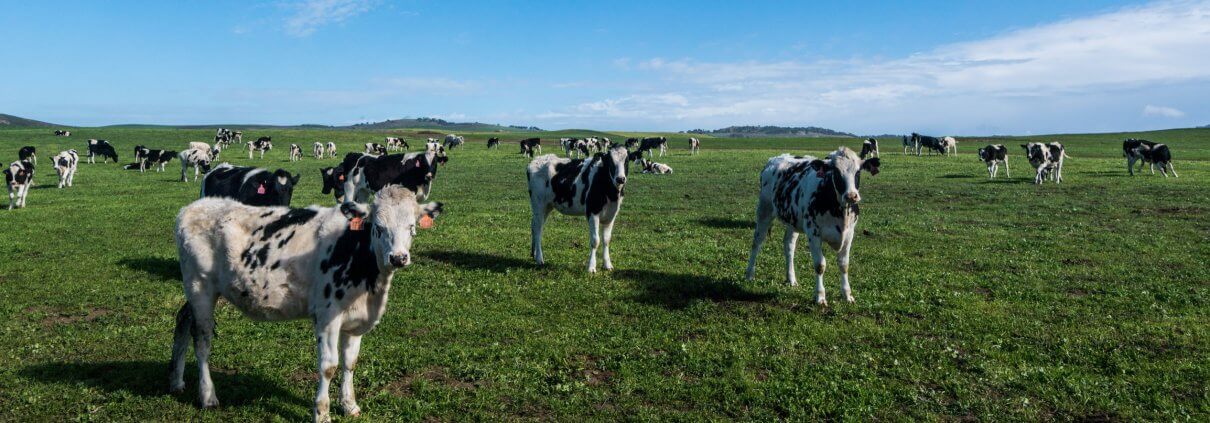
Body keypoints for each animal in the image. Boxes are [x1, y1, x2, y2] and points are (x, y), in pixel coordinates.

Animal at [173, 189, 447, 423]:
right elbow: (329, 366)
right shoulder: (328, 316)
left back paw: (176, 382)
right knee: (203, 340)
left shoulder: (356, 321)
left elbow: (350, 362)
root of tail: (193, 207)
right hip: (200, 287)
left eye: (412, 227)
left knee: (183, 320)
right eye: (378, 227)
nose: (398, 258)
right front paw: (322, 413)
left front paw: (350, 405)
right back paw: (208, 396)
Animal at [525, 143, 629, 273]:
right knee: (538, 228)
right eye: (610, 161)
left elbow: (606, 240)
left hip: (548, 206)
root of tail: (536, 160)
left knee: (534, 225)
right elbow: (595, 240)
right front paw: (591, 267)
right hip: (538, 203)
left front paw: (607, 264)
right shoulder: (592, 212)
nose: (620, 179)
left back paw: (533, 254)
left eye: (627, 160)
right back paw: (539, 258)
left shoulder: (611, 215)